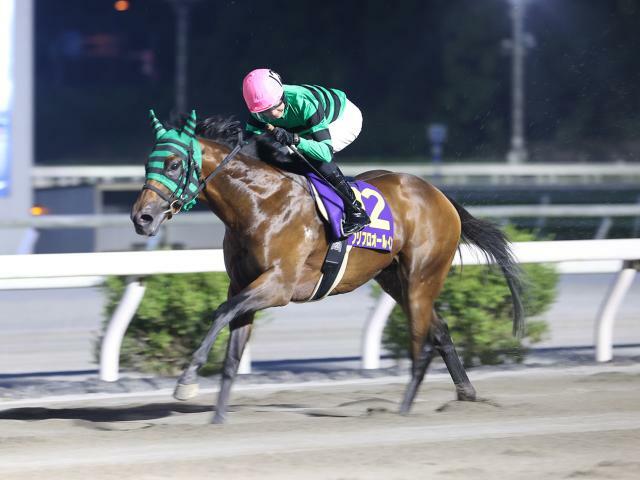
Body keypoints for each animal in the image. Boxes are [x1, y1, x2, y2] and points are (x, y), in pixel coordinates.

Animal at [131, 111, 524, 424]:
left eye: (174, 164)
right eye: (149, 164)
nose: (141, 217)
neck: (259, 203)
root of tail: (439, 195)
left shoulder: (278, 286)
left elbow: (221, 311)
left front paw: (186, 383)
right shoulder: (243, 284)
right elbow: (232, 352)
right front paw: (218, 419)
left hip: (421, 276)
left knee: (422, 340)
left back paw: (403, 410)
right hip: (394, 278)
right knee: (439, 331)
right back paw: (465, 395)